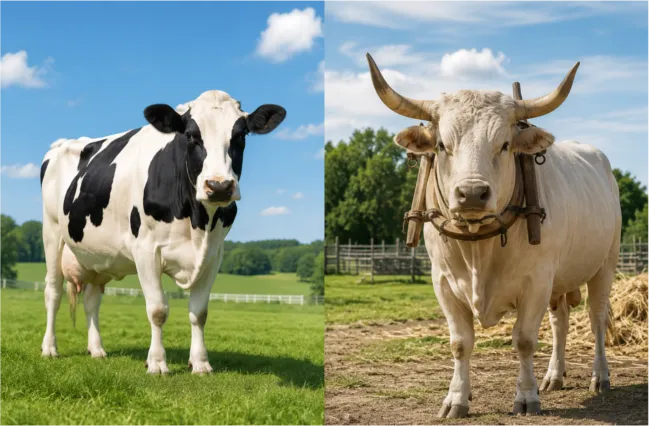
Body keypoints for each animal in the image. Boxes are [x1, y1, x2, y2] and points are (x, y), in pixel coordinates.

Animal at [39, 90, 286, 374]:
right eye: (190, 135)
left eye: (241, 135)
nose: (219, 186)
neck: (197, 221)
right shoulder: (145, 250)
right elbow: (157, 309)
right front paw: (157, 363)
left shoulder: (214, 255)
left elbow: (199, 312)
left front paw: (200, 363)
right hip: (52, 233)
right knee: (53, 292)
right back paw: (49, 348)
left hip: (96, 257)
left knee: (91, 300)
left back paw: (97, 350)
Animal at [366, 53, 621, 417]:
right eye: (442, 145)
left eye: (504, 144)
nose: (472, 194)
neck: (479, 248)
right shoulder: (442, 282)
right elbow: (460, 343)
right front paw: (456, 398)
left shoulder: (537, 280)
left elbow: (525, 340)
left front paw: (526, 397)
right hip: (561, 280)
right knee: (560, 320)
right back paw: (554, 376)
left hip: (605, 264)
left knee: (596, 317)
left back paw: (600, 377)